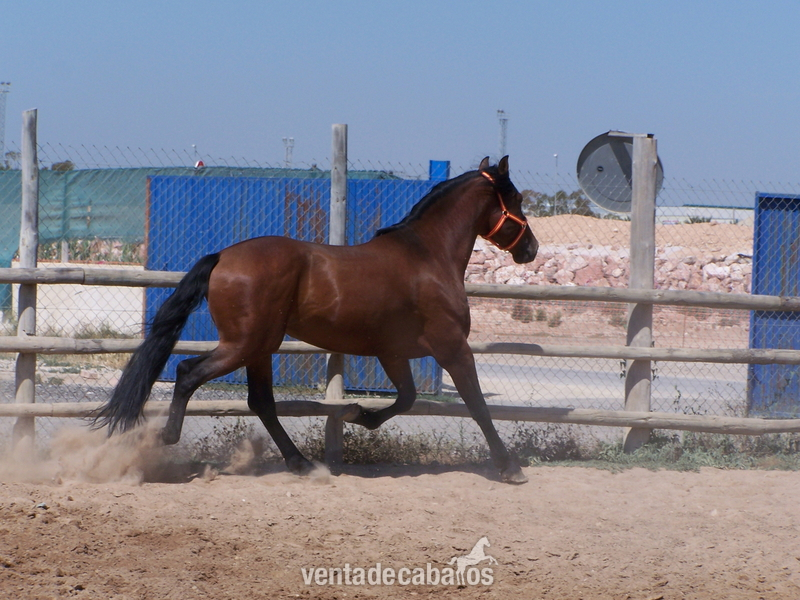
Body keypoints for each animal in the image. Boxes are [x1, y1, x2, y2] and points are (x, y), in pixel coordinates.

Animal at [94, 156, 538, 484]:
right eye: (516, 198)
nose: (531, 249)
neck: (427, 256)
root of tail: (222, 257)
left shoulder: (393, 353)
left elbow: (408, 398)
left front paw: (359, 415)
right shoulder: (452, 347)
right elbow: (477, 405)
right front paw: (510, 468)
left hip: (260, 348)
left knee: (261, 402)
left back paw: (302, 463)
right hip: (244, 345)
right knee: (188, 372)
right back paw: (168, 437)